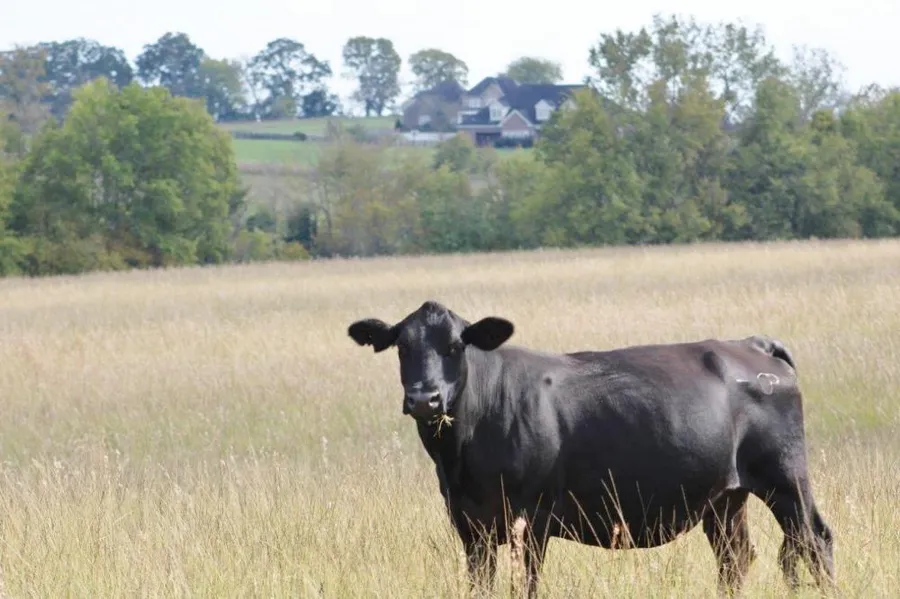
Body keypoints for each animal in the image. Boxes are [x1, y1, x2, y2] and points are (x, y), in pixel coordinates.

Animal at [347, 300, 834, 597]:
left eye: (454, 346)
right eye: (402, 347)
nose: (425, 399)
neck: (460, 458)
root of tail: (751, 344)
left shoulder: (532, 519)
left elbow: (525, 585)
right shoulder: (471, 525)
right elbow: (480, 585)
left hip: (785, 479)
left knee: (815, 540)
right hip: (725, 498)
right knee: (735, 558)